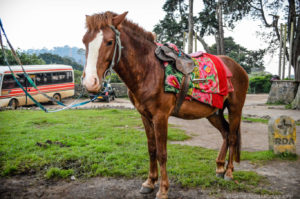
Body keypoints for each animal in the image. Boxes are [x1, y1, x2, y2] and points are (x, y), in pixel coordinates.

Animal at [81, 11, 248, 199]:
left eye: (109, 42)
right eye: (85, 41)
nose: (90, 82)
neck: (149, 70)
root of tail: (237, 67)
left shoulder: (160, 117)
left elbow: (162, 153)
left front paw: (163, 189)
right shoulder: (145, 116)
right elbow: (152, 149)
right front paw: (149, 182)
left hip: (235, 109)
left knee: (232, 137)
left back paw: (229, 172)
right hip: (213, 113)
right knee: (225, 133)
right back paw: (219, 167)